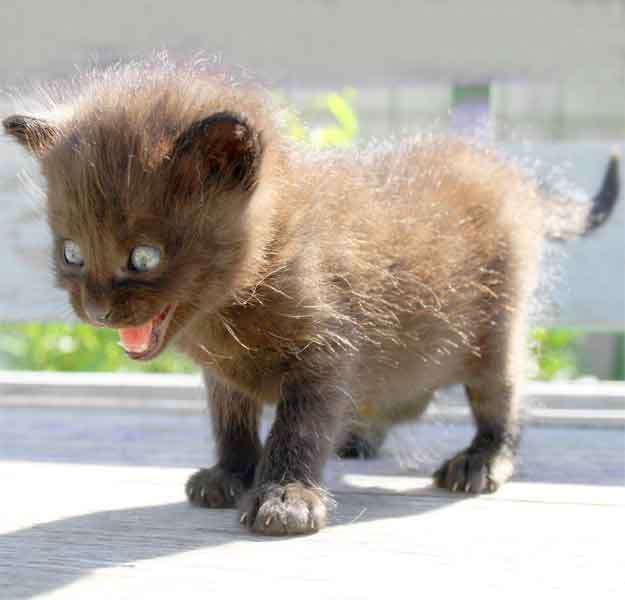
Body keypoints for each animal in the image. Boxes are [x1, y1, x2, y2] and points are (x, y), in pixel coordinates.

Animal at [3, 61, 620, 536]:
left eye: (144, 258)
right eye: (72, 253)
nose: (97, 311)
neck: (228, 308)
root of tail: (504, 168)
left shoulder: (328, 352)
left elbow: (298, 428)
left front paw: (285, 497)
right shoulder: (224, 375)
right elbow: (230, 422)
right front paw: (231, 474)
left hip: (497, 330)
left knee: (502, 396)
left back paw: (482, 459)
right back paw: (360, 434)